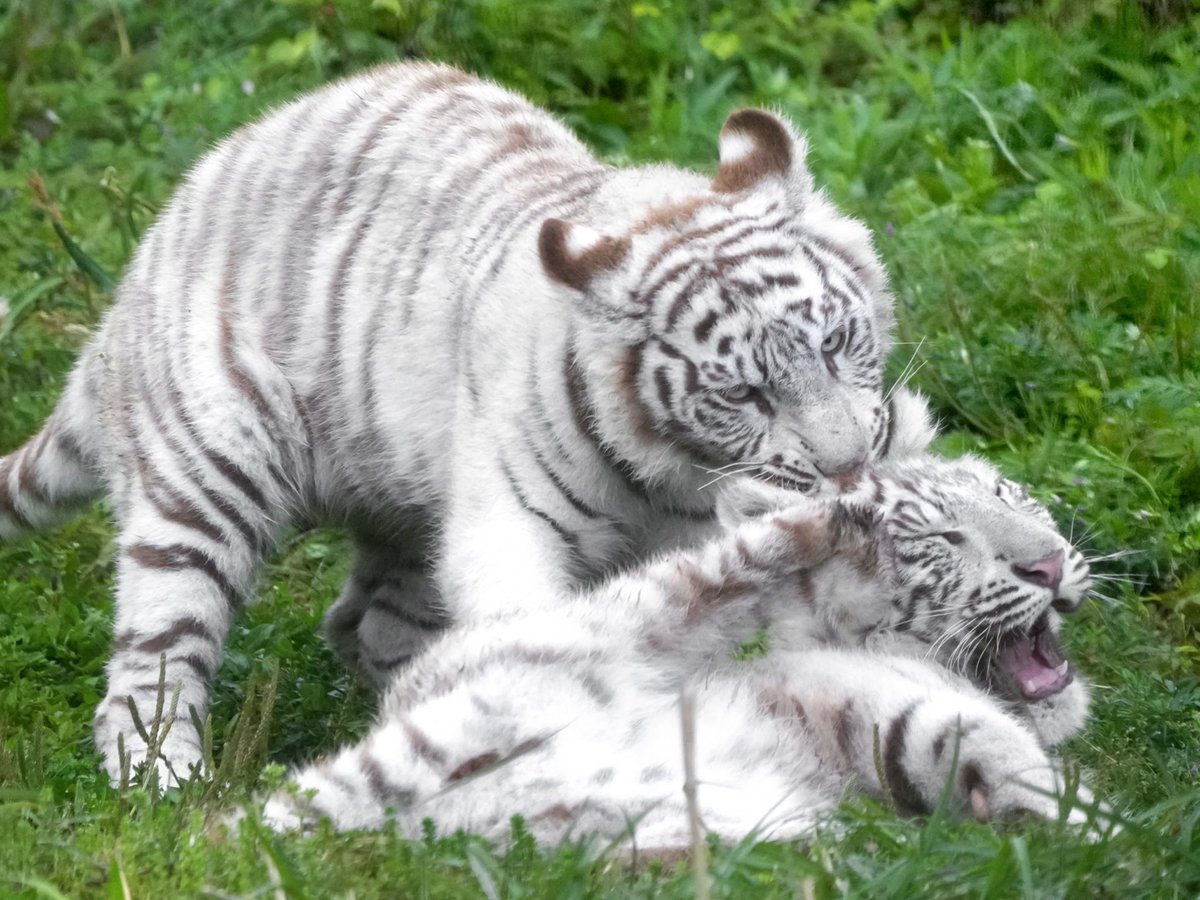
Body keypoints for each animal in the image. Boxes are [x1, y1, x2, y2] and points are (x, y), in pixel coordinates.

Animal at [0, 63, 902, 782]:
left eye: (834, 343)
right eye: (745, 395)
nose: (849, 466)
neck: (672, 472)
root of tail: (126, 298)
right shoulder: (510, 522)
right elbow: (536, 626)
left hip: (403, 519)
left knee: (363, 624)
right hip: (204, 483)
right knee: (152, 661)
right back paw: (165, 784)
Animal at [262, 408, 1099, 844]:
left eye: (1010, 494)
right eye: (943, 538)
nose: (1050, 564)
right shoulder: (874, 689)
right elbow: (1009, 751)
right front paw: (1108, 840)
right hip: (617, 619)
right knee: (730, 562)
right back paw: (834, 516)